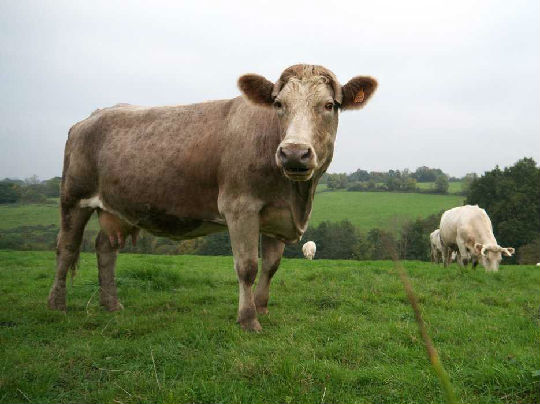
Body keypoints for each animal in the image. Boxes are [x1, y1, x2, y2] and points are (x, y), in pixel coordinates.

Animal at [46, 64, 378, 332]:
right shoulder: (240, 207)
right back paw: (57, 305)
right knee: (67, 248)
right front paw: (248, 319)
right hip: (73, 197)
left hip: (116, 207)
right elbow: (247, 267)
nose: (294, 153)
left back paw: (111, 304)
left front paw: (261, 307)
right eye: (278, 104)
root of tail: (90, 117)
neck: (296, 196)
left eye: (329, 105)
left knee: (105, 249)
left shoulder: (277, 216)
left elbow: (271, 266)